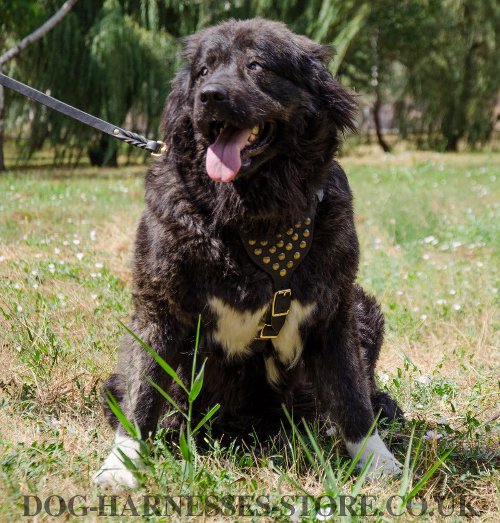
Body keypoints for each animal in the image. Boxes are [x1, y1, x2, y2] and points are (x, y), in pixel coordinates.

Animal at [94, 17, 402, 492]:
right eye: (202, 71)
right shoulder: (158, 306)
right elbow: (142, 390)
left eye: (256, 65)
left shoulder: (335, 310)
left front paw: (375, 461)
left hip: (364, 308)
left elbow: (351, 395)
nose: (210, 96)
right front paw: (121, 464)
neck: (254, 213)